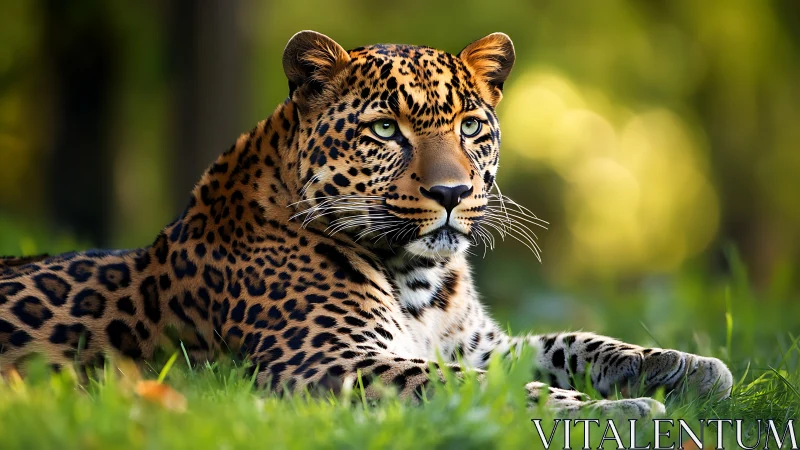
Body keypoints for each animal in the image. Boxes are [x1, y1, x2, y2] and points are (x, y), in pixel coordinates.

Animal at [0, 30, 732, 417]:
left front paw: (683, 368)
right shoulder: (326, 361)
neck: (420, 280)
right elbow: (480, 392)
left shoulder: (477, 345)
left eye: (472, 127)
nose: (451, 192)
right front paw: (618, 412)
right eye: (384, 130)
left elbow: (572, 343)